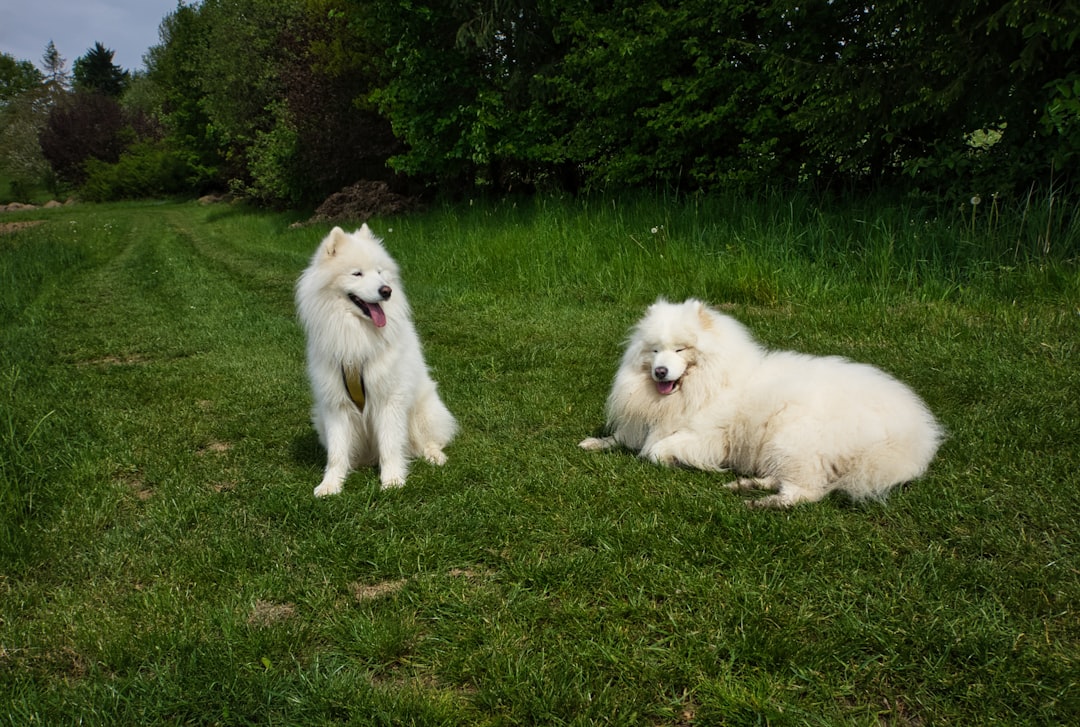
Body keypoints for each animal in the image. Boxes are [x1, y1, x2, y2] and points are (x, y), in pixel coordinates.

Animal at [578, 298, 941, 507]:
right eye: (654, 350)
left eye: (680, 349)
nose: (660, 372)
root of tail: (912, 437)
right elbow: (622, 438)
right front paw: (594, 442)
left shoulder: (706, 436)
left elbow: (652, 450)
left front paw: (677, 462)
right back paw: (748, 484)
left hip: (792, 439)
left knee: (807, 493)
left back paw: (761, 501)